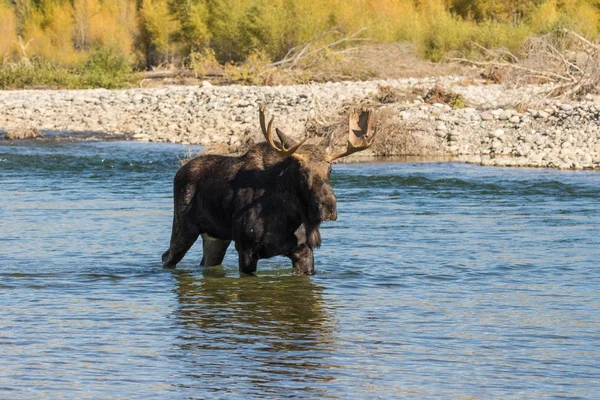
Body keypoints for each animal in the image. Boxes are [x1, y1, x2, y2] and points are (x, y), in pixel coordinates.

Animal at [161, 103, 376, 276]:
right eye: (302, 171)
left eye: (330, 169)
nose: (329, 207)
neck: (289, 217)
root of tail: (179, 172)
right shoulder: (246, 250)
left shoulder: (304, 252)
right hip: (184, 228)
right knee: (166, 257)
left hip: (217, 238)